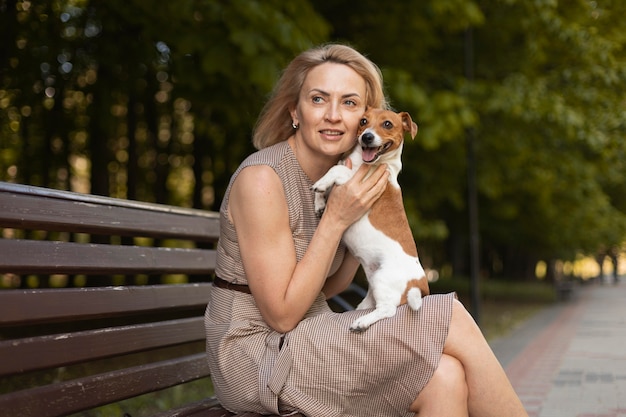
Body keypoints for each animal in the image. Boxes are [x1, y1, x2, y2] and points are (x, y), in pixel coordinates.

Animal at [312, 107, 428, 332]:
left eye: (387, 124)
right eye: (363, 121)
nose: (366, 136)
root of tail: (421, 283)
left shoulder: (356, 186)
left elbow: (337, 169)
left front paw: (321, 184)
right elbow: (330, 175)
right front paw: (319, 200)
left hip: (384, 279)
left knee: (388, 310)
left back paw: (362, 322)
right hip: (373, 284)